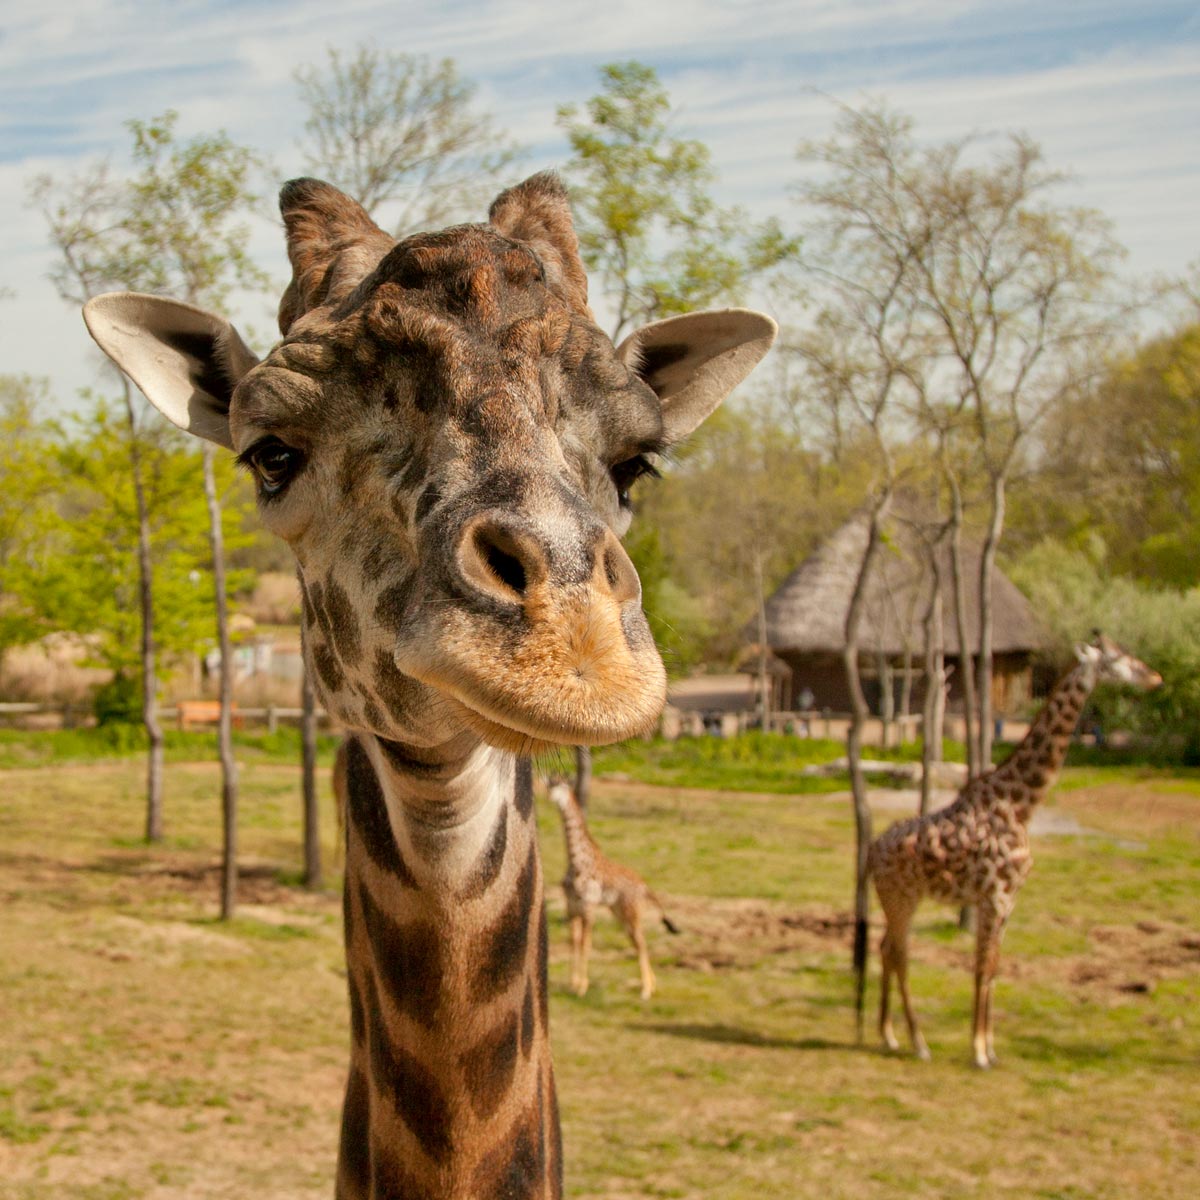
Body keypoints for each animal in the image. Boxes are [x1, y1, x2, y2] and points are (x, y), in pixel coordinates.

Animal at [546, 777, 680, 999]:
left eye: (563, 787)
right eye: (550, 784)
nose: (550, 796)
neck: (576, 861)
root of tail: (644, 886)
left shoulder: (588, 907)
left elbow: (586, 945)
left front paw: (582, 987)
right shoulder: (571, 907)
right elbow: (573, 942)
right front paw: (573, 984)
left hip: (631, 910)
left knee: (641, 941)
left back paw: (645, 991)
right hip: (618, 911)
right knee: (636, 940)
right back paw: (652, 985)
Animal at [864, 634, 1160, 1069]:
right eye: (1118, 659)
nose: (1154, 677)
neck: (1021, 804)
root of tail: (871, 852)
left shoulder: (1009, 901)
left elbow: (994, 967)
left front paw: (991, 1048)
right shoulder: (996, 897)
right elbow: (982, 967)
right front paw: (978, 1051)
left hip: (903, 900)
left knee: (887, 949)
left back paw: (889, 1036)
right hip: (901, 899)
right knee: (899, 954)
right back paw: (918, 1043)